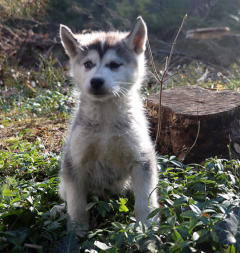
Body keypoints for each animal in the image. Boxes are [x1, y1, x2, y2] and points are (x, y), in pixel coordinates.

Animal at [58, 16, 159, 234]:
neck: (105, 119)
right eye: (88, 64)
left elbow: (144, 202)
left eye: (114, 65)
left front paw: (146, 228)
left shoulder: (141, 159)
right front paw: (77, 231)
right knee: (65, 196)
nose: (96, 81)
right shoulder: (74, 163)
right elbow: (76, 204)